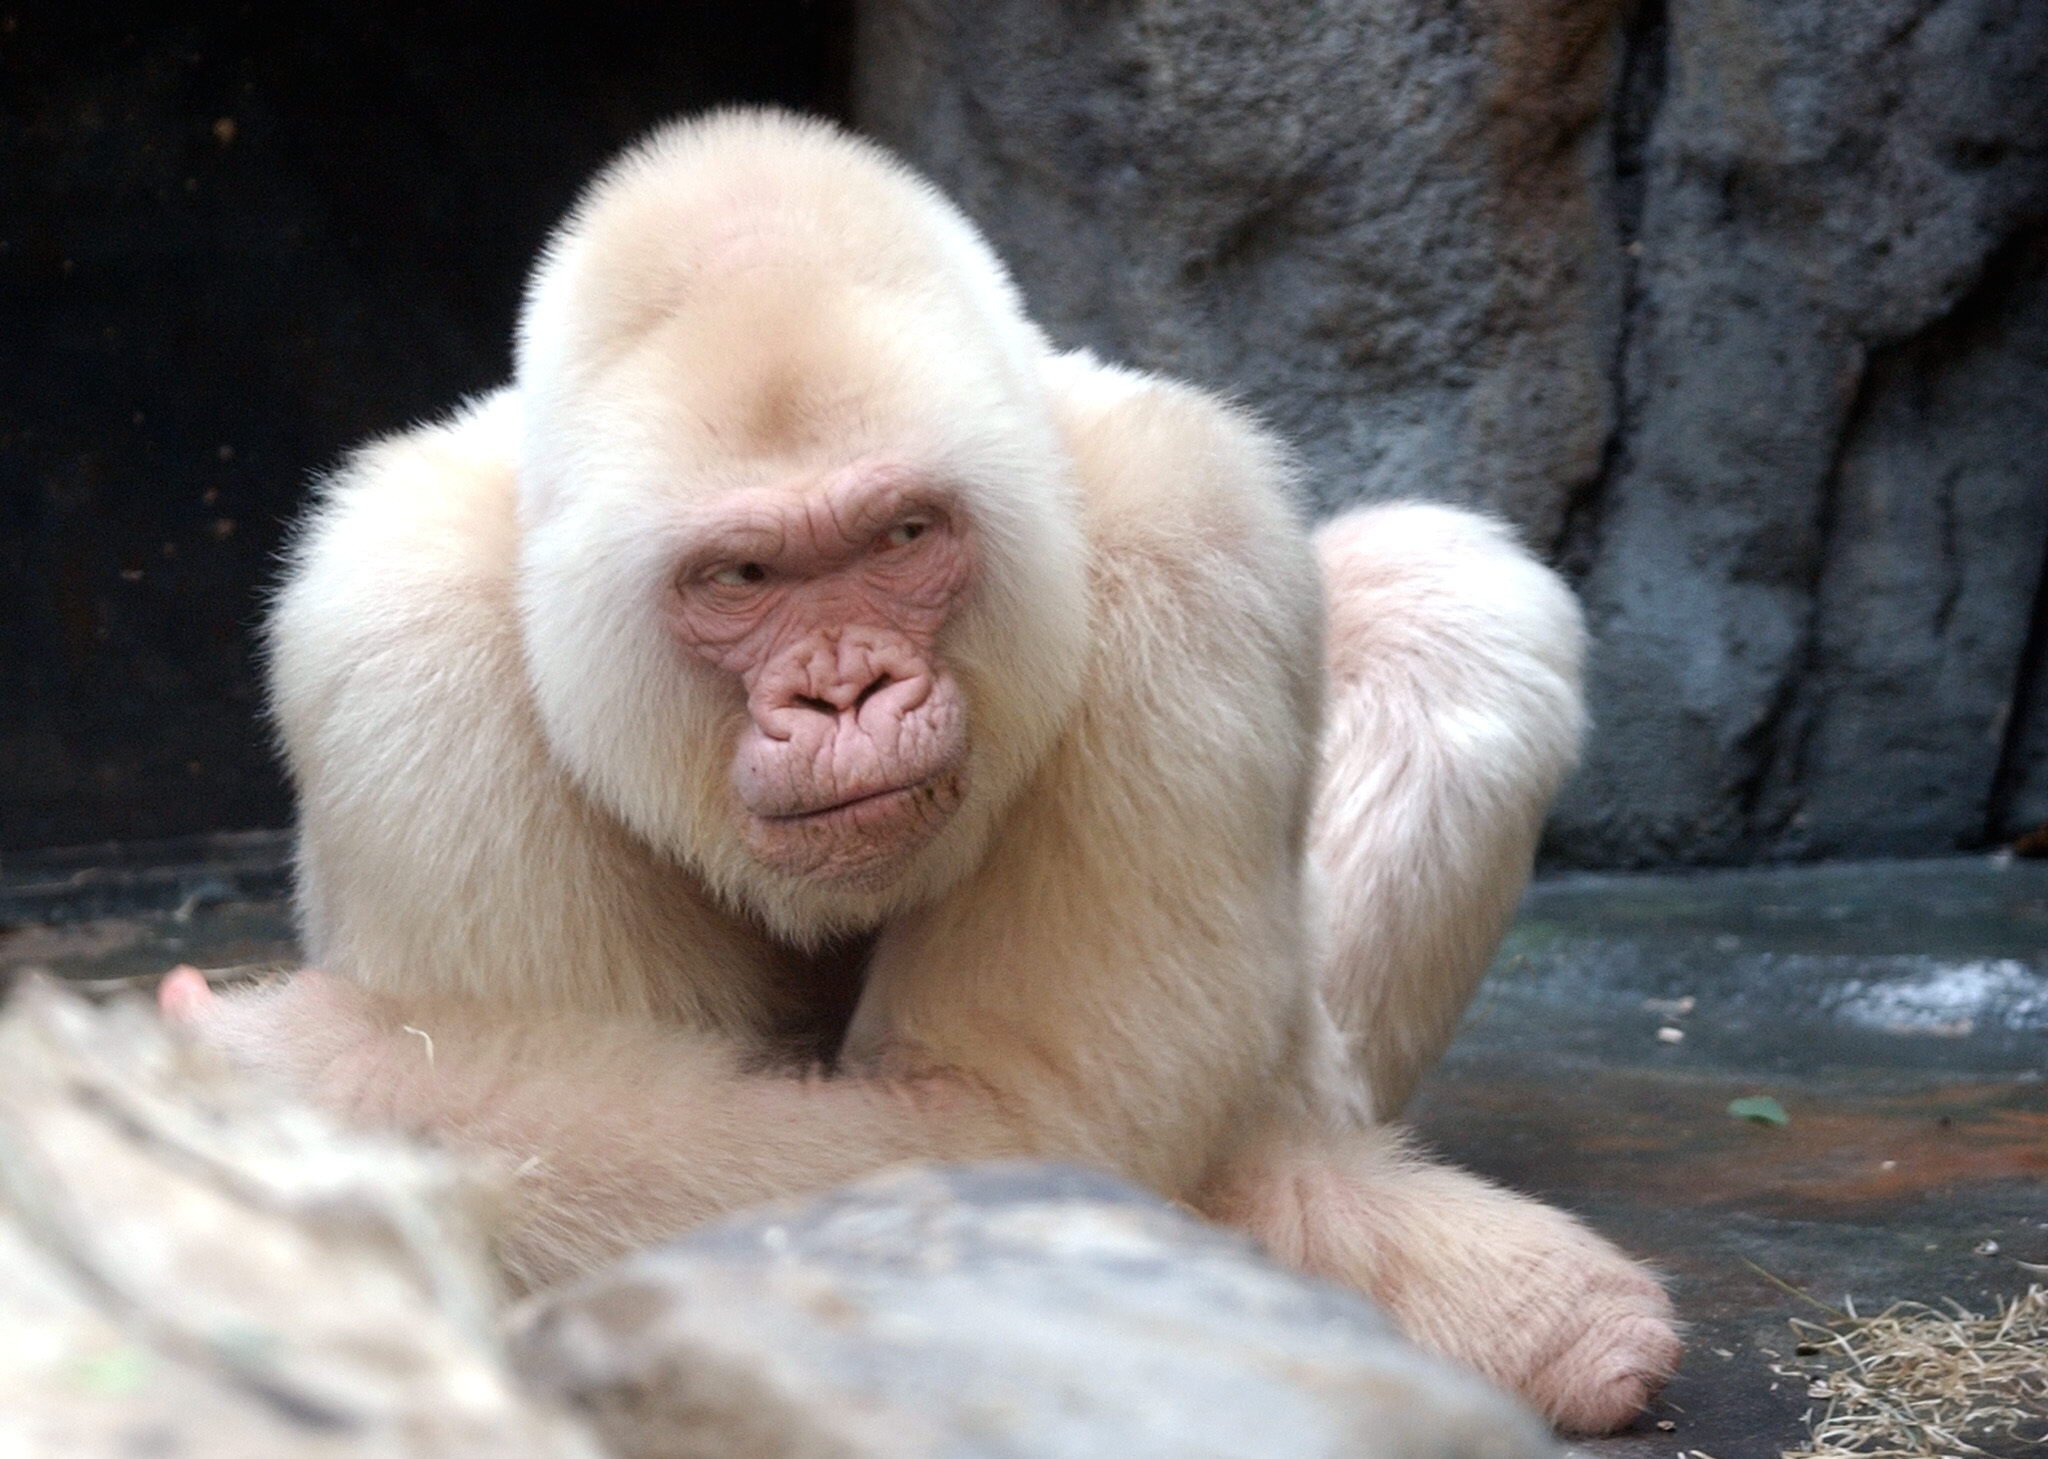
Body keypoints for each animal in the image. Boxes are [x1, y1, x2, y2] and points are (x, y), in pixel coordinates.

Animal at [163, 113, 1679, 1434]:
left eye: (901, 534)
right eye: (742, 576)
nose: (847, 691)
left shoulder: (1183, 541)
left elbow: (1021, 1134)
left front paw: (295, 1079)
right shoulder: (400, 648)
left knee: (1455, 603)